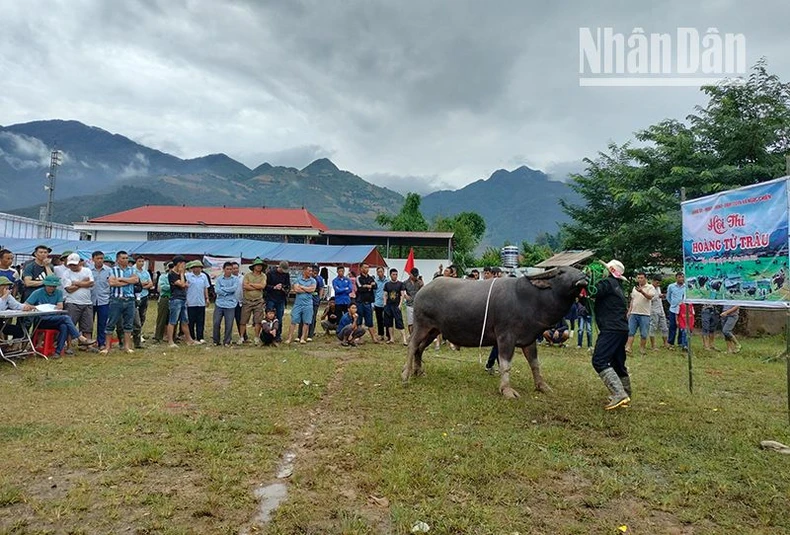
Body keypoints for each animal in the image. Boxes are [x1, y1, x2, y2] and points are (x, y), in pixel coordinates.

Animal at [406, 266, 592, 398]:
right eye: (561, 272)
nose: (583, 278)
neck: (531, 299)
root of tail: (422, 291)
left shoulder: (529, 339)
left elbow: (535, 363)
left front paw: (542, 386)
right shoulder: (505, 337)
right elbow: (505, 364)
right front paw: (506, 390)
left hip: (433, 330)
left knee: (419, 349)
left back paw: (418, 371)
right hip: (421, 325)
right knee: (412, 346)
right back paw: (405, 374)